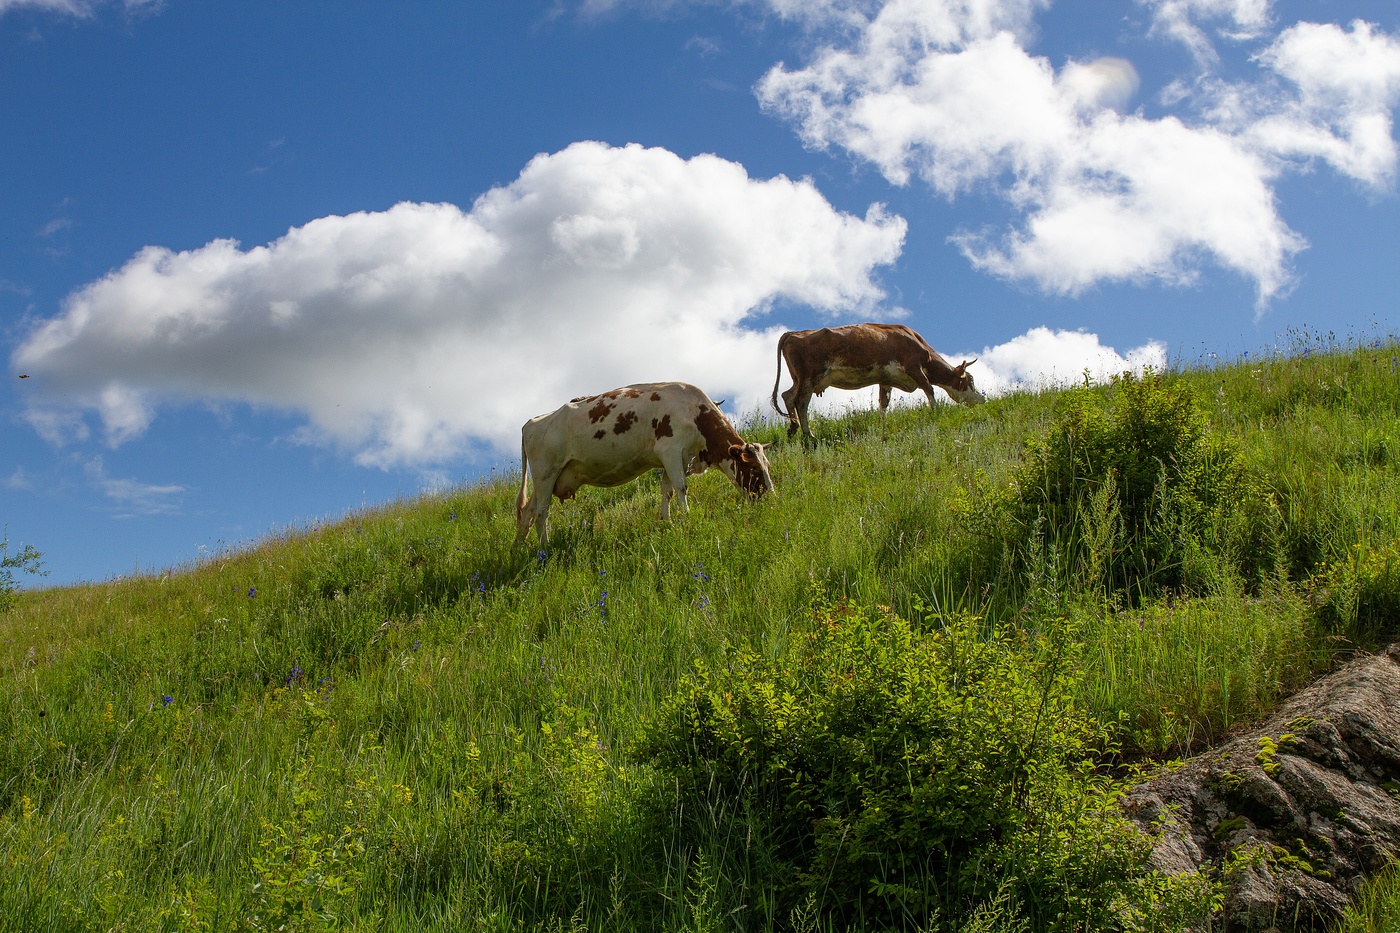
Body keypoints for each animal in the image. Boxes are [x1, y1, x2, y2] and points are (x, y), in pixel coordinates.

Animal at [518, 381, 778, 546]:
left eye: (768, 467)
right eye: (754, 468)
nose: (772, 500)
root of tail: (533, 422)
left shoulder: (676, 459)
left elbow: (667, 491)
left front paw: (668, 521)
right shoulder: (671, 451)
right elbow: (682, 488)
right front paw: (687, 518)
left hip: (547, 480)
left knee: (527, 512)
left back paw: (519, 549)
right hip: (546, 474)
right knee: (541, 513)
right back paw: (545, 548)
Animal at [767, 322, 985, 437]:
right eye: (970, 380)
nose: (983, 399)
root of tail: (791, 333)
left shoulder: (886, 378)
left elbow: (883, 402)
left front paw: (881, 424)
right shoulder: (914, 367)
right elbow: (929, 389)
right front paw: (936, 411)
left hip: (799, 379)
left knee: (787, 396)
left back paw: (793, 428)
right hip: (809, 378)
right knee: (801, 402)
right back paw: (808, 434)